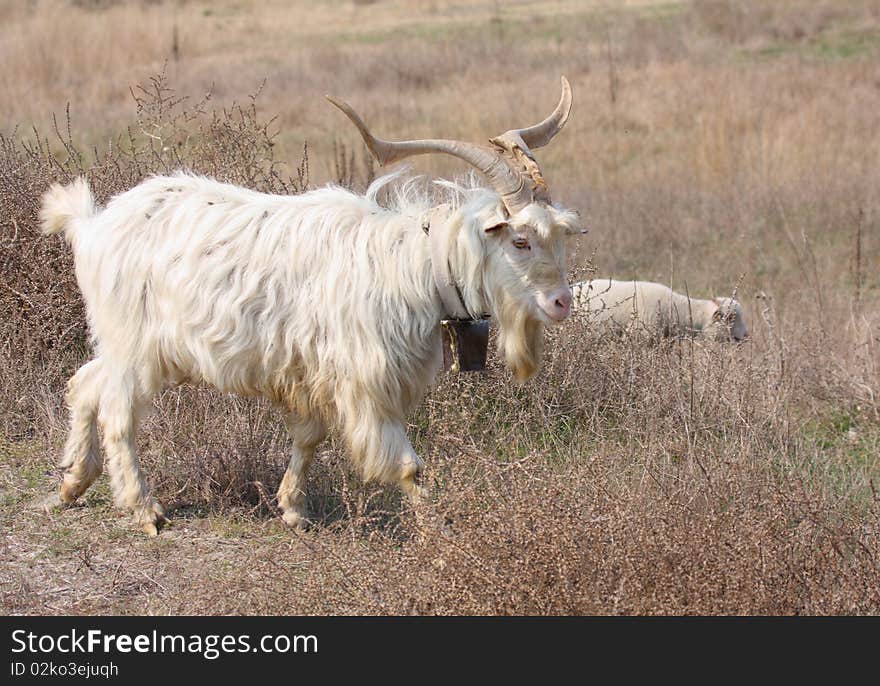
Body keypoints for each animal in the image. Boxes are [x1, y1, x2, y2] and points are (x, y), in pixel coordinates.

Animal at [41, 78, 580, 536]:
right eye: (520, 241)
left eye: (559, 234)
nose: (561, 303)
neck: (415, 266)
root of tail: (91, 226)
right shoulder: (366, 382)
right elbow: (408, 466)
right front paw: (441, 538)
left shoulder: (311, 373)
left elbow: (308, 438)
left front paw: (293, 509)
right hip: (136, 345)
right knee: (117, 413)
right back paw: (143, 509)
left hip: (135, 345)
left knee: (84, 383)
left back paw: (72, 483)